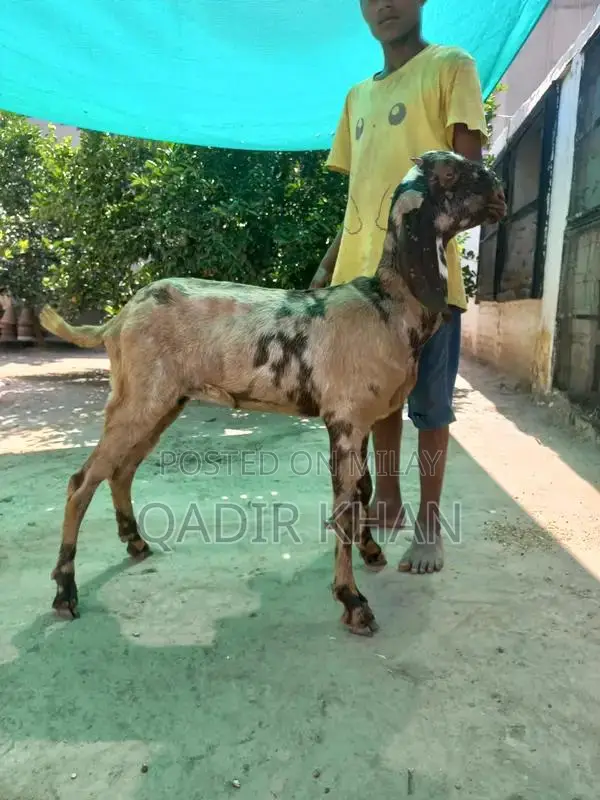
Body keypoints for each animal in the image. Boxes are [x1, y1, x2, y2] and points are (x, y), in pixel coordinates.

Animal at [39, 150, 506, 636]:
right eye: (450, 172)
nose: (500, 192)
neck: (387, 307)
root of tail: (119, 317)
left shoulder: (359, 421)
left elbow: (362, 491)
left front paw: (372, 552)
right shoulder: (344, 421)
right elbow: (344, 508)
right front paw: (353, 601)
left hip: (161, 403)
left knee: (121, 471)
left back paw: (134, 542)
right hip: (138, 401)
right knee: (81, 482)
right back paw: (65, 592)